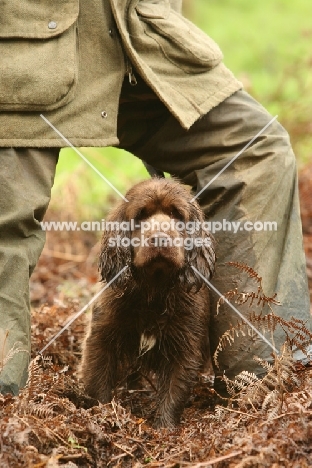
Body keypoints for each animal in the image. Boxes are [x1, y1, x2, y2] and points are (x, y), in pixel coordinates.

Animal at [80, 178, 214, 428]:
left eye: (177, 215)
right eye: (140, 216)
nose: (160, 238)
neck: (154, 290)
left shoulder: (185, 347)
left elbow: (173, 391)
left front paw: (164, 428)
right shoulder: (101, 338)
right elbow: (98, 383)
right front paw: (102, 415)